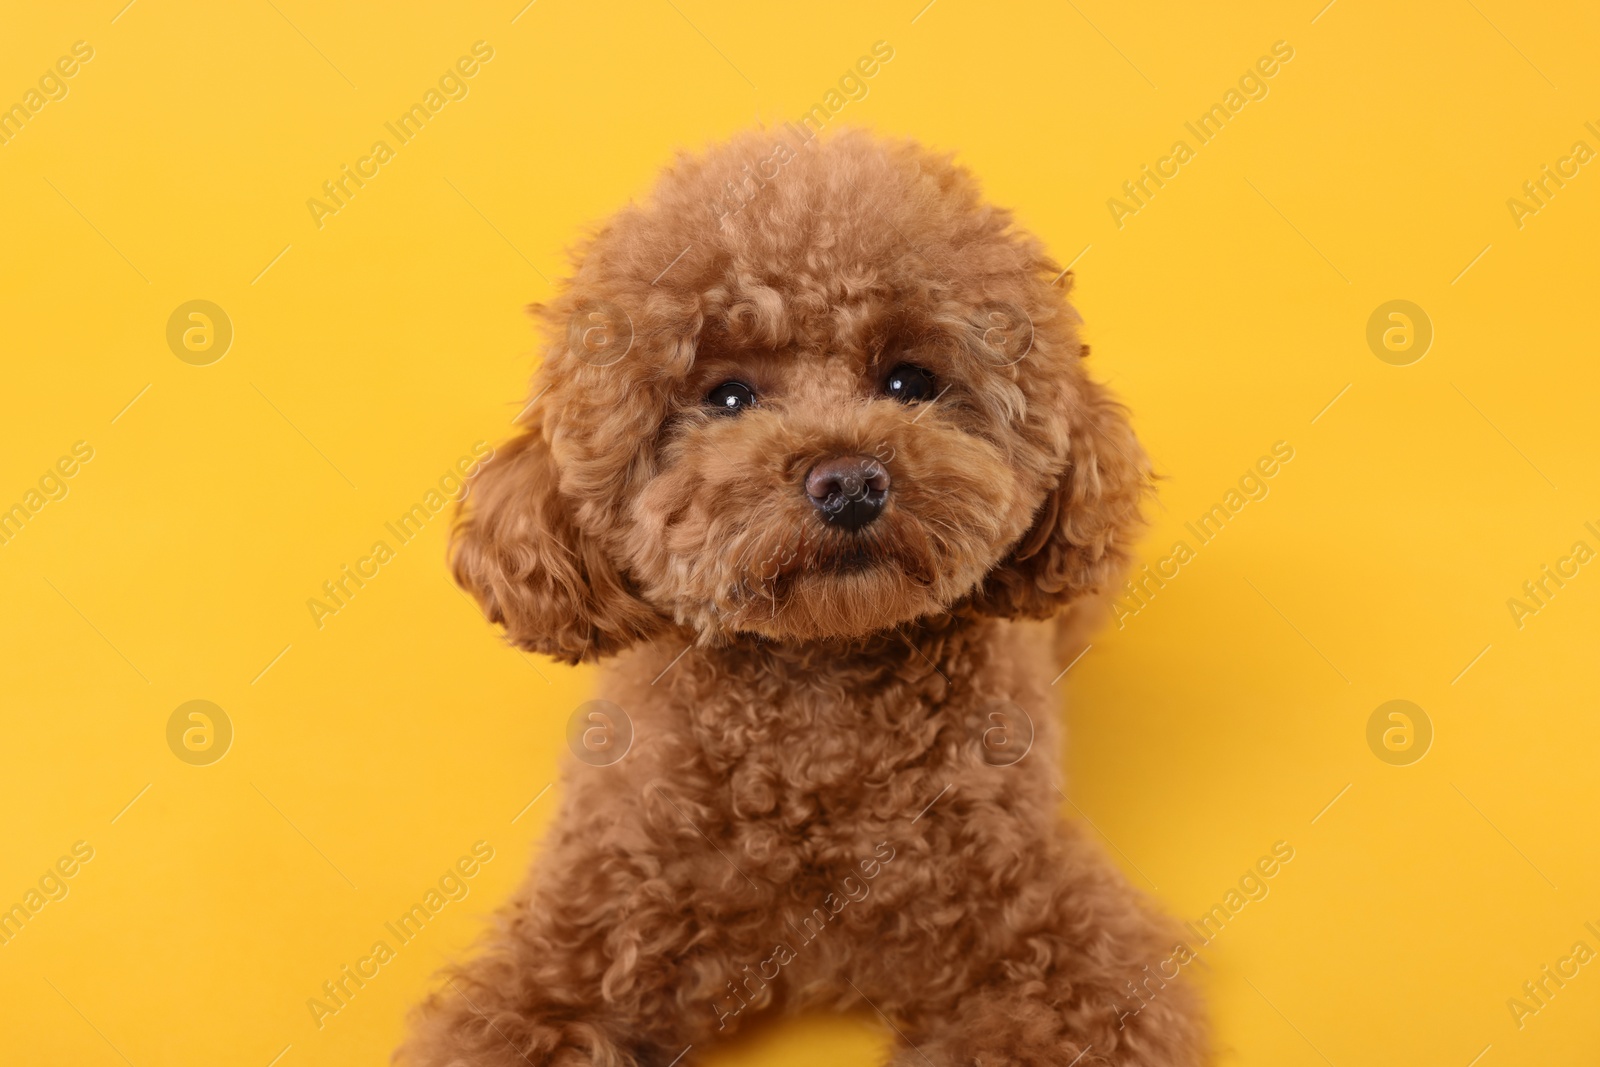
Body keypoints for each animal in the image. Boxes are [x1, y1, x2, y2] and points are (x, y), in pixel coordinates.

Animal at [396, 127, 1203, 1067]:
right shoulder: (591, 920)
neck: (819, 705)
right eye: (728, 395)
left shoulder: (1056, 945)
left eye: (910, 381)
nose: (849, 480)